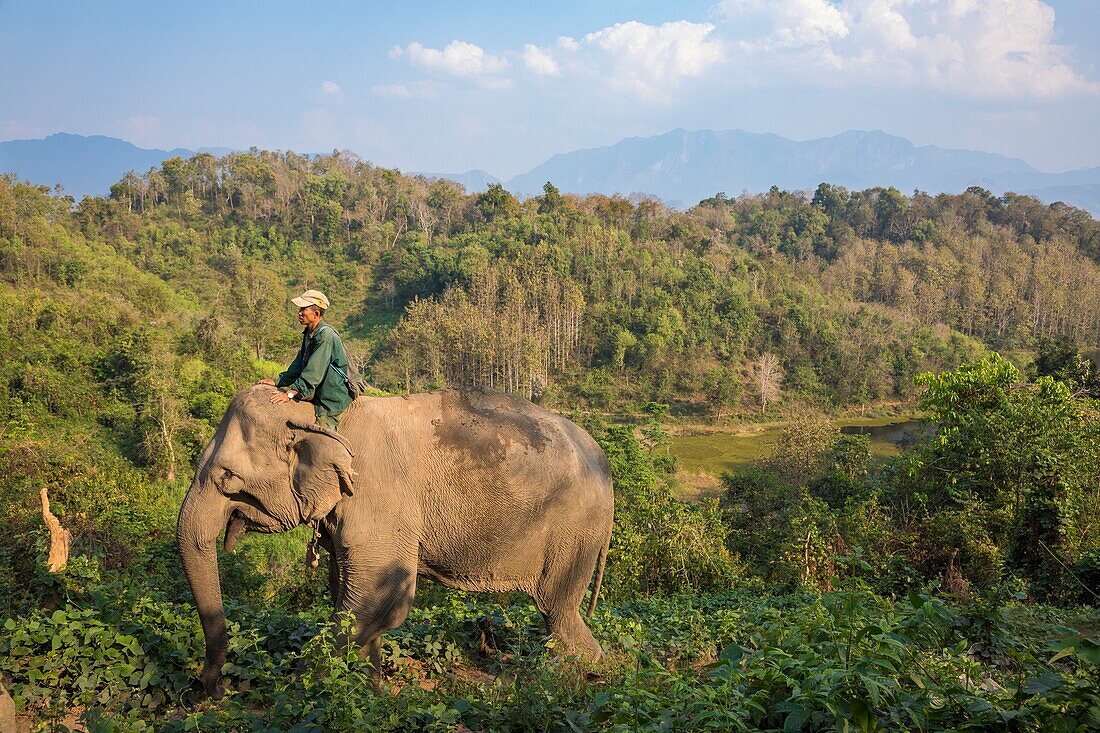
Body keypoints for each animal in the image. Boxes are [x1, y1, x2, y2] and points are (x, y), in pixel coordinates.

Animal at [176, 383, 616, 695]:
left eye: (227, 477)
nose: (213, 690)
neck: (324, 417)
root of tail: (605, 463)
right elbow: (349, 592)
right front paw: (369, 692)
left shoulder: (379, 497)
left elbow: (380, 596)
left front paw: (294, 690)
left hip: (574, 530)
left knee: (557, 611)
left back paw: (572, 685)